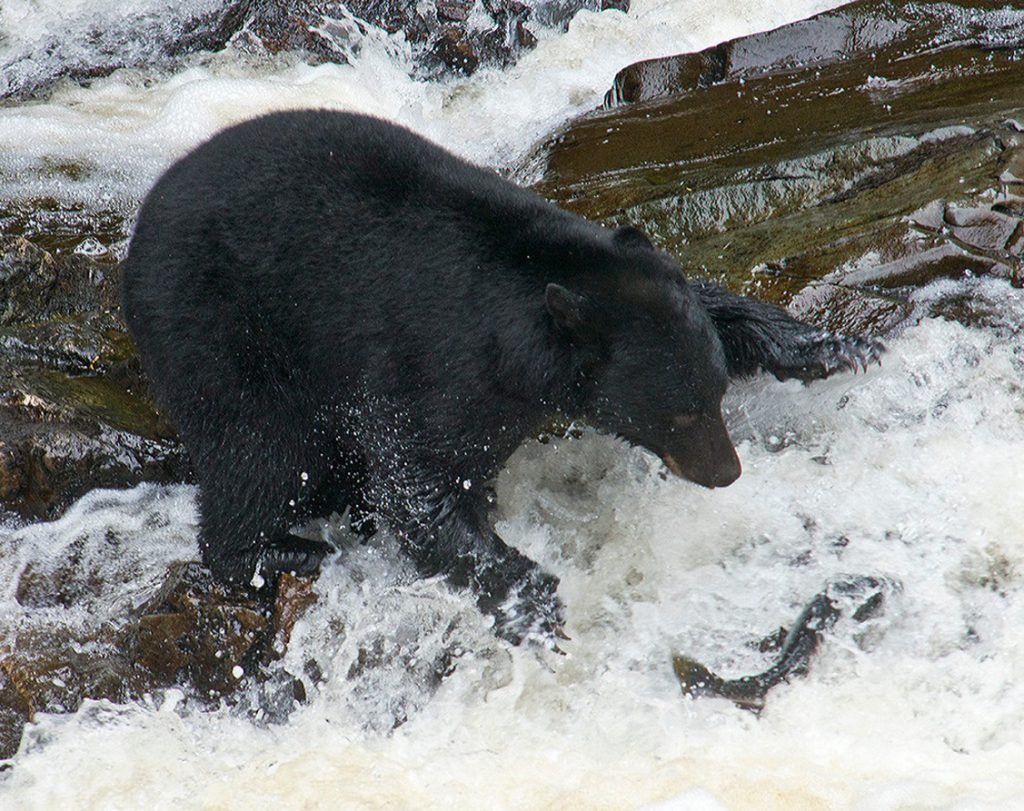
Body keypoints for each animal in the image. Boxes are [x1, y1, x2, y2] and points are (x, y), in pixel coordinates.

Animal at [123, 111, 884, 643]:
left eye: (716, 395)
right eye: (678, 414)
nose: (725, 473)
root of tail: (140, 229)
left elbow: (714, 301)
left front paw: (835, 345)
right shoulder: (429, 360)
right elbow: (417, 483)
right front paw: (532, 597)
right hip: (223, 328)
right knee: (256, 446)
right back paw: (277, 549)